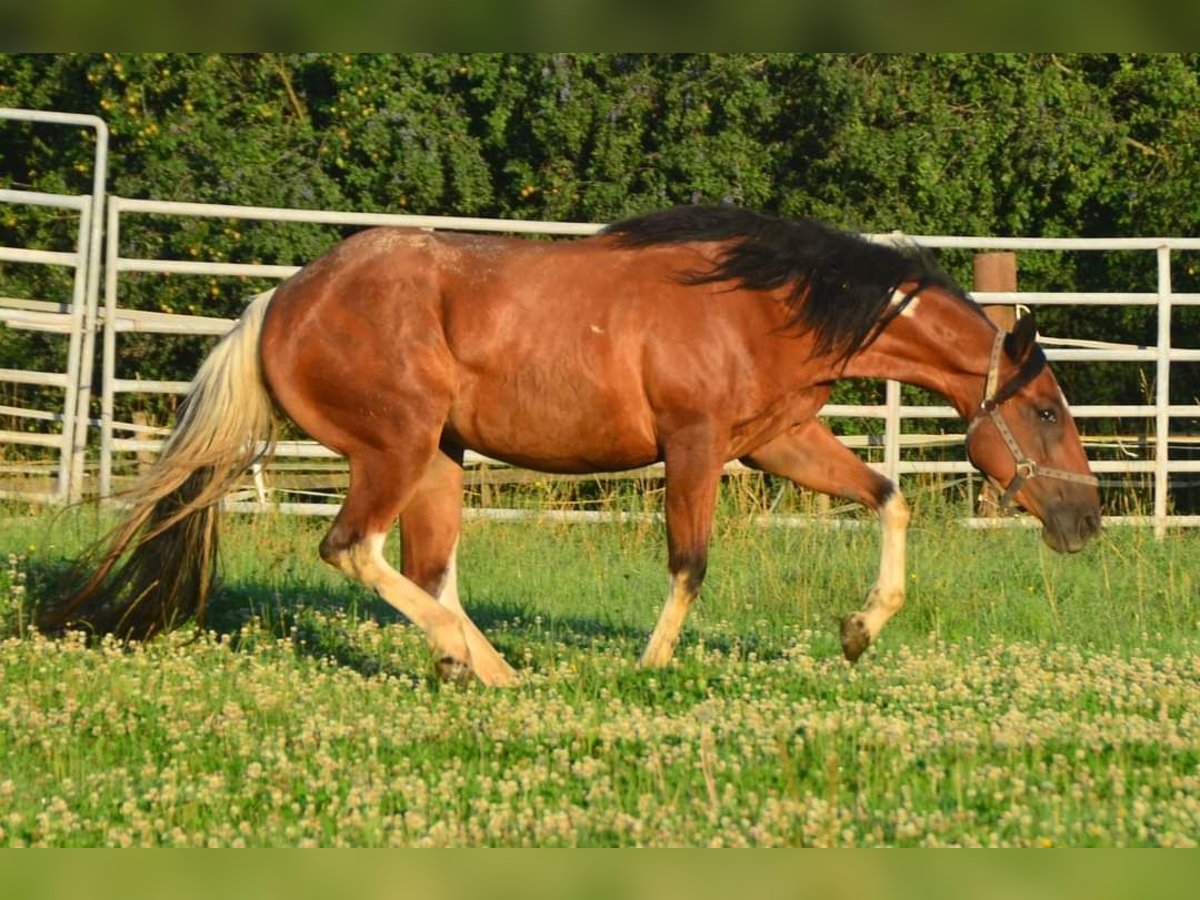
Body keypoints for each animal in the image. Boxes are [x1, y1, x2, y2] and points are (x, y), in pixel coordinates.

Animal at [42, 206, 1099, 681]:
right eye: (1048, 410)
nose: (1085, 521)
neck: (762, 304)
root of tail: (279, 304)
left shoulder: (776, 440)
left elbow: (887, 495)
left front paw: (858, 629)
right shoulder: (695, 446)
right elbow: (690, 561)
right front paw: (650, 669)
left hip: (440, 460)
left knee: (426, 570)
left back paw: (480, 668)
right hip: (395, 447)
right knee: (354, 550)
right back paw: (481, 663)